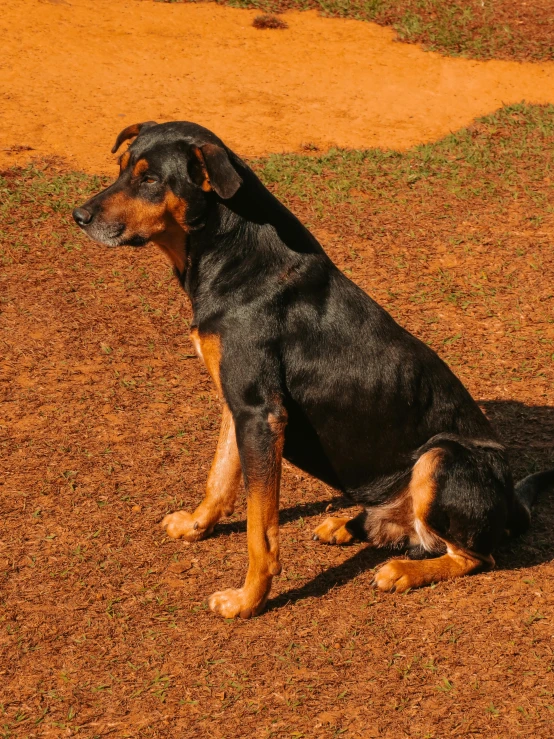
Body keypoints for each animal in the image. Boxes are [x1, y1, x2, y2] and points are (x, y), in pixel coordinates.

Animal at [73, 121, 552, 620]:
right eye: (121, 168)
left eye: (150, 180)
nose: (78, 216)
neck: (231, 254)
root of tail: (512, 505)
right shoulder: (238, 403)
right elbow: (219, 477)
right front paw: (196, 525)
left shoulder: (261, 413)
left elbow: (259, 530)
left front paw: (248, 600)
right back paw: (347, 525)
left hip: (442, 457)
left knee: (474, 555)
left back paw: (403, 570)